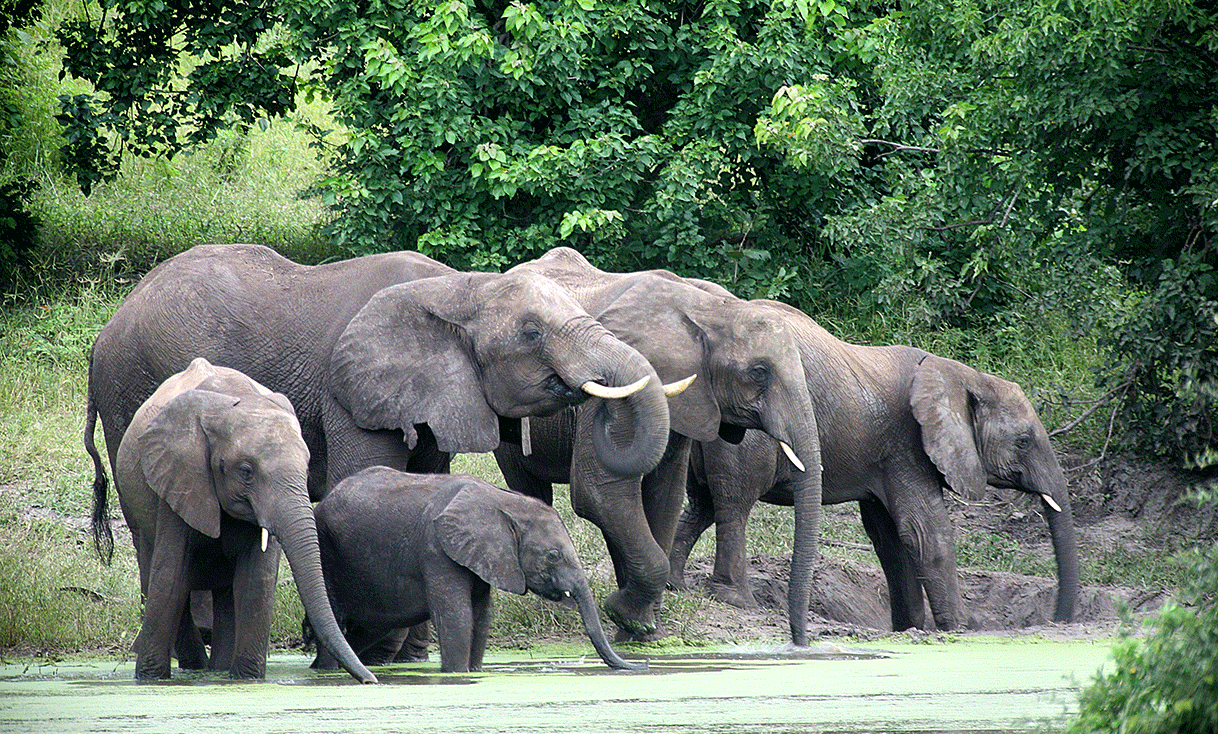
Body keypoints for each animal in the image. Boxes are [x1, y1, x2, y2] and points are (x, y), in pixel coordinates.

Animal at [88, 241, 672, 557]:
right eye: (532, 333)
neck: (459, 288)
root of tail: (106, 331)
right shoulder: (351, 393)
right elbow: (360, 475)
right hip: (131, 383)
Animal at [109, 357, 375, 681]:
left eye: (307, 466)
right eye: (246, 471)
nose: (370, 680)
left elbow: (255, 582)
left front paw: (247, 678)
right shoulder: (180, 477)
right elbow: (170, 577)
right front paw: (150, 679)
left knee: (226, 593)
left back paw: (219, 670)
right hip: (134, 504)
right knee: (154, 570)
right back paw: (196, 669)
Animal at [309, 467, 643, 676]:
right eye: (553, 555)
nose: (643, 665)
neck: (503, 501)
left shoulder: (484, 556)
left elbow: (481, 618)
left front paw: (474, 672)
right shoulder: (436, 549)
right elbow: (458, 617)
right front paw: (456, 674)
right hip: (328, 550)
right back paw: (327, 670)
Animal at [499, 249, 823, 647]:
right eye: (759, 372)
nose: (799, 640)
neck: (709, 311)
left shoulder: (689, 399)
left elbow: (664, 494)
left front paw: (645, 631)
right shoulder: (626, 381)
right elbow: (598, 489)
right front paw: (626, 616)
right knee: (532, 490)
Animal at [672, 298, 1081, 632]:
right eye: (1024, 441)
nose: (1058, 621)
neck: (963, 374)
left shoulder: (884, 456)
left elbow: (891, 539)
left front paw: (910, 628)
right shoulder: (907, 446)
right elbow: (925, 533)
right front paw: (959, 630)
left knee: (702, 505)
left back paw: (675, 584)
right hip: (747, 437)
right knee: (734, 504)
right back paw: (737, 601)